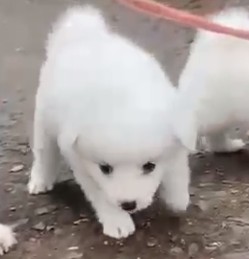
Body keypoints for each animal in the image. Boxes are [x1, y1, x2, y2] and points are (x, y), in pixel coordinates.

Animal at [28, 6, 194, 240]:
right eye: (105, 168)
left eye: (149, 166)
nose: (128, 205)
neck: (124, 98)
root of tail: (83, 35)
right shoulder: (81, 162)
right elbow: (100, 194)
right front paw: (118, 222)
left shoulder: (179, 133)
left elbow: (177, 169)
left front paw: (177, 197)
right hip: (44, 120)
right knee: (44, 154)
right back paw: (39, 181)